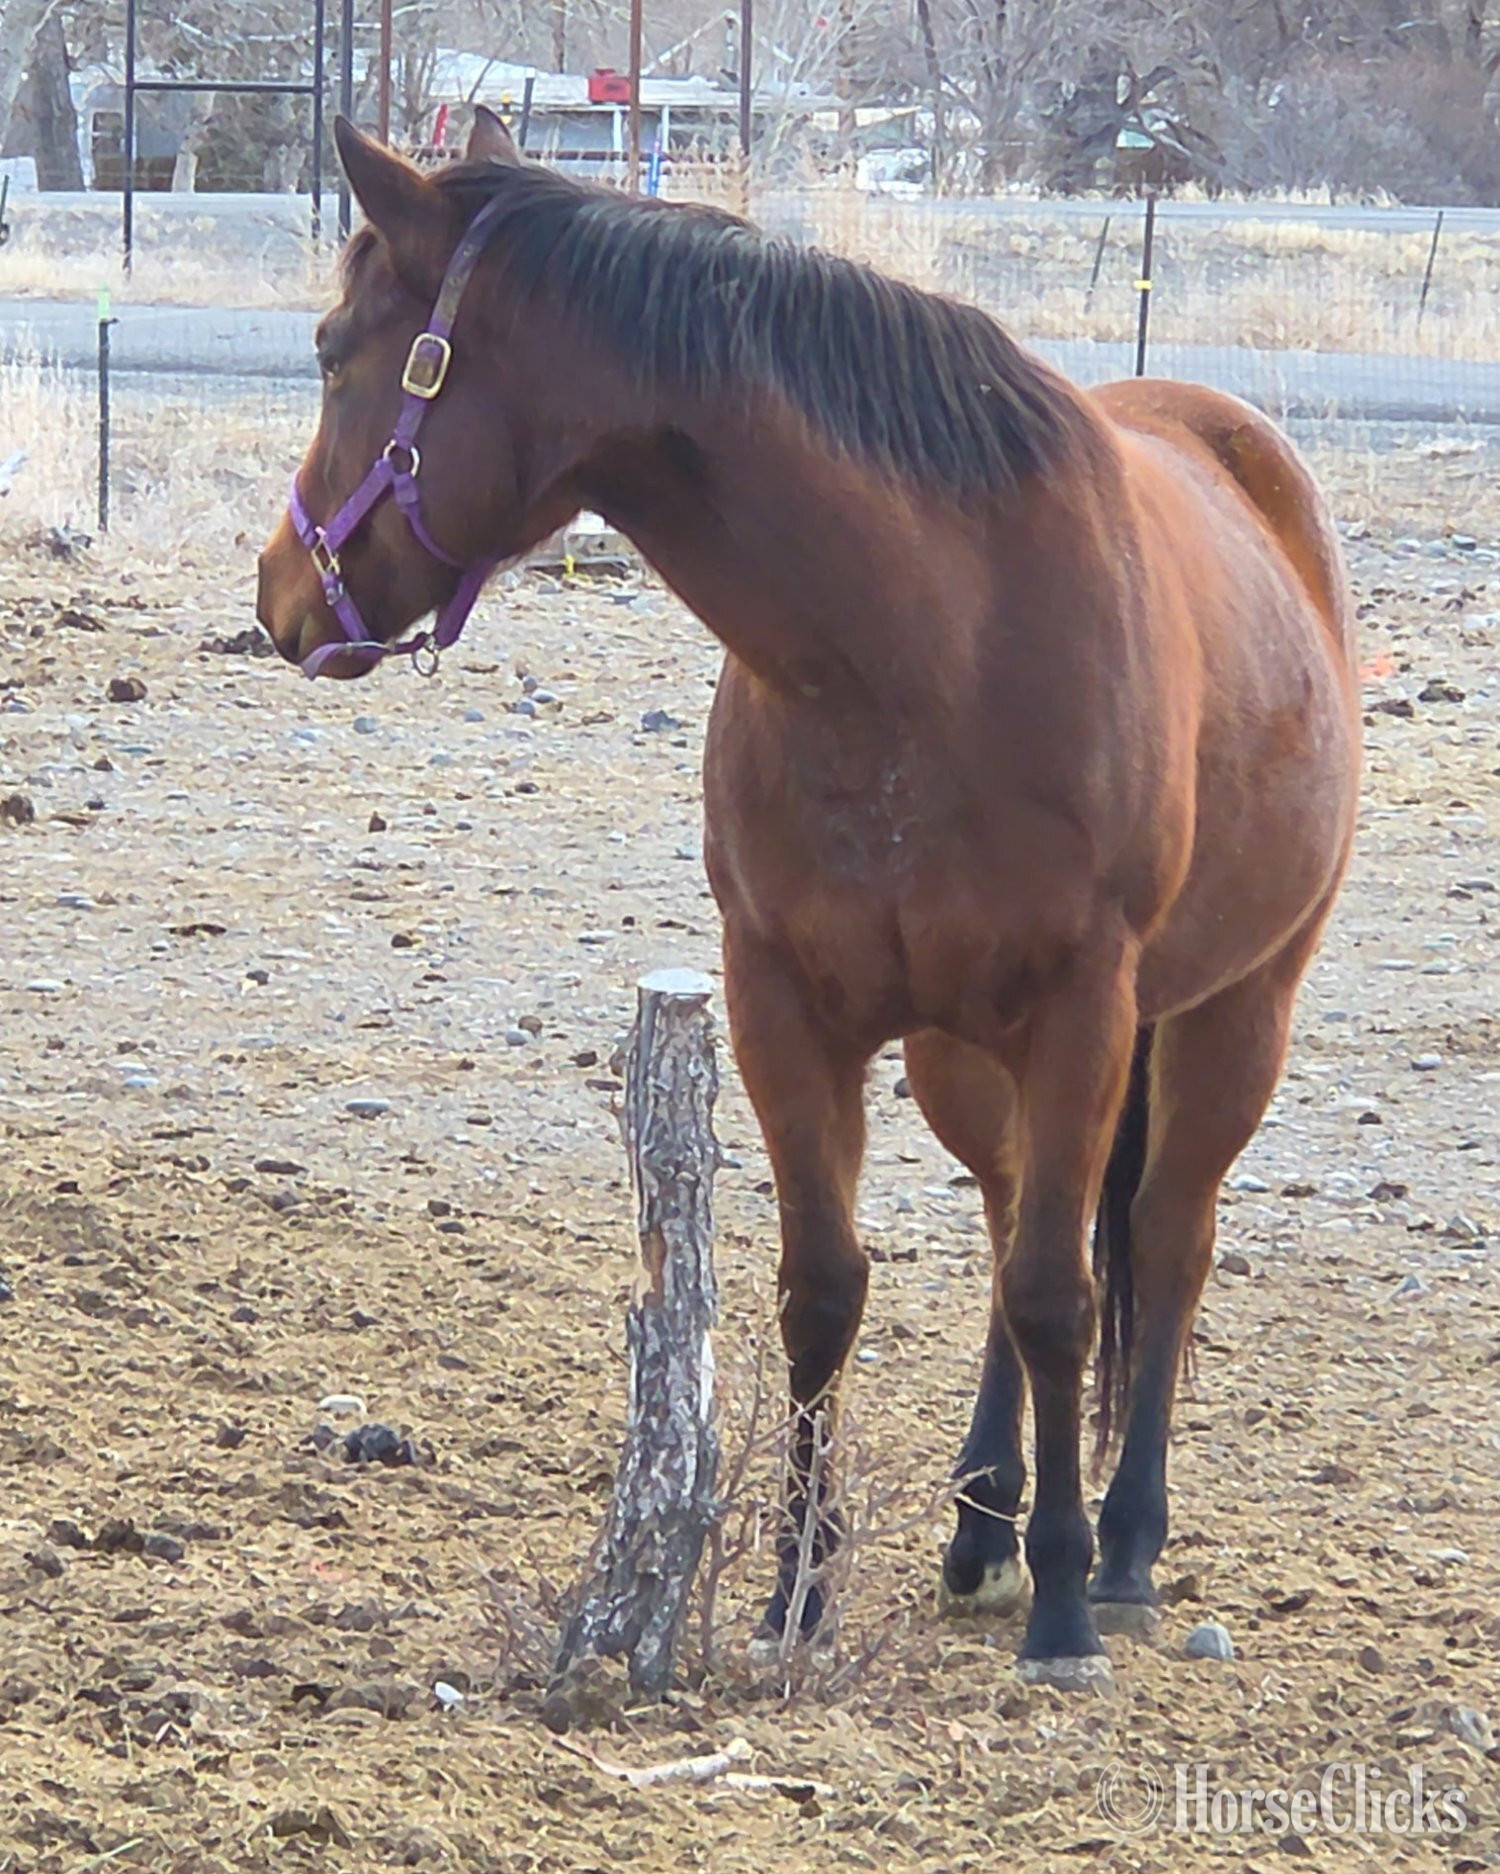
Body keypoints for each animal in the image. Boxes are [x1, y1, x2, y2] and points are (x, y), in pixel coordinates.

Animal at [256, 109, 1361, 1687]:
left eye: (337, 345)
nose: (282, 591)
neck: (920, 646)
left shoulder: (1087, 1009)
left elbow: (1064, 1293)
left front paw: (1067, 1606)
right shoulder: (785, 1003)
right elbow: (829, 1287)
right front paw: (793, 1590)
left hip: (1230, 1015)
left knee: (1160, 1242)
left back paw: (1123, 1545)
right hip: (965, 1050)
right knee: (1013, 1222)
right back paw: (979, 1525)